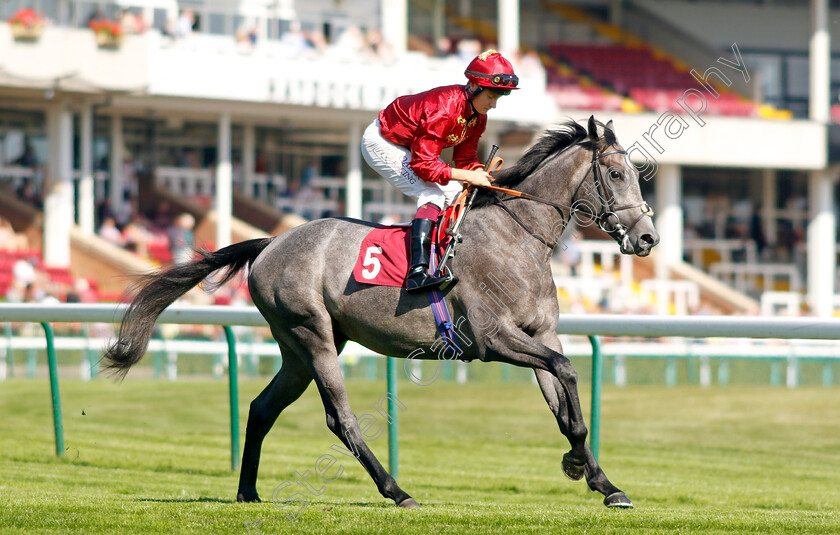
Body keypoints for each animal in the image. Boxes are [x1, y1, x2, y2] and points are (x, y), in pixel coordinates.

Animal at [103, 116, 656, 510]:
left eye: (635, 174)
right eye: (615, 173)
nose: (648, 238)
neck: (516, 237)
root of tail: (270, 242)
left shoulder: (541, 334)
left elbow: (566, 399)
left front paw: (601, 480)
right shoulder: (492, 340)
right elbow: (565, 374)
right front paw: (581, 468)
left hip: (302, 346)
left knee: (262, 408)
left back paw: (248, 492)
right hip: (311, 334)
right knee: (340, 418)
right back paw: (397, 491)